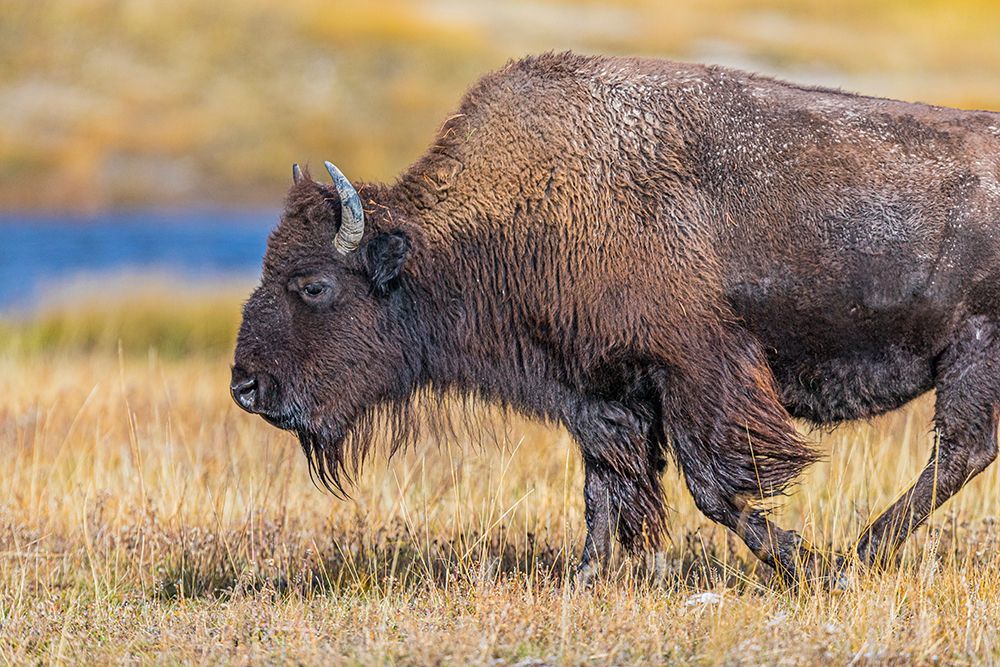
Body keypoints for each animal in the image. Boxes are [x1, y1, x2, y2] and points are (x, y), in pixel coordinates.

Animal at [231, 52, 1000, 585]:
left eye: (314, 286)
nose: (246, 387)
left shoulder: (693, 372)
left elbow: (713, 487)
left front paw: (806, 564)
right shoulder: (599, 393)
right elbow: (605, 488)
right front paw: (584, 580)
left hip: (972, 348)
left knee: (959, 449)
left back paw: (861, 554)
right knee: (964, 452)